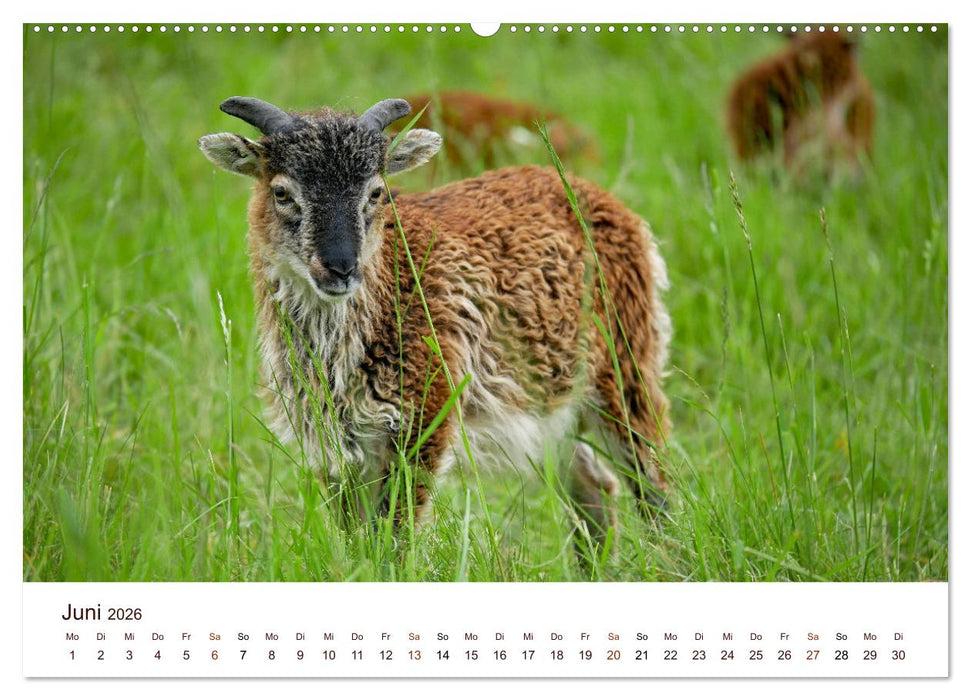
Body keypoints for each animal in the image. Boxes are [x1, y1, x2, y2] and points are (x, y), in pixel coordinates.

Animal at [198, 95, 672, 555]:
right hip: (551, 409)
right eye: (282, 192)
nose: (341, 267)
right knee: (594, 487)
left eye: (376, 192)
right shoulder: (334, 444)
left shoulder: (426, 418)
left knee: (652, 481)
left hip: (624, 369)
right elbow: (357, 540)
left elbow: (394, 537)